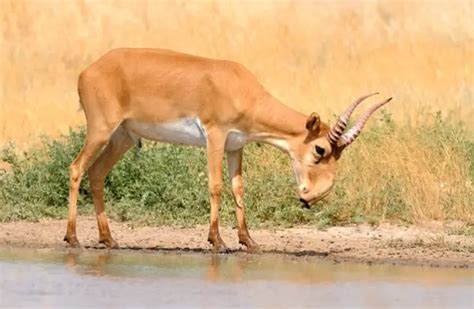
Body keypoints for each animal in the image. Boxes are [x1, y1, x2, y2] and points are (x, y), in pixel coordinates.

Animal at [64, 47, 392, 250]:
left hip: (123, 137)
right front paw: (217, 241)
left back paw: (108, 240)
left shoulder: (236, 145)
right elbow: (216, 185)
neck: (239, 87)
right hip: (101, 130)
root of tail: (88, 70)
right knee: (76, 168)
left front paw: (249, 242)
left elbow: (238, 188)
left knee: (96, 173)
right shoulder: (216, 136)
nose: (311, 196)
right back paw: (73, 238)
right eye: (320, 150)